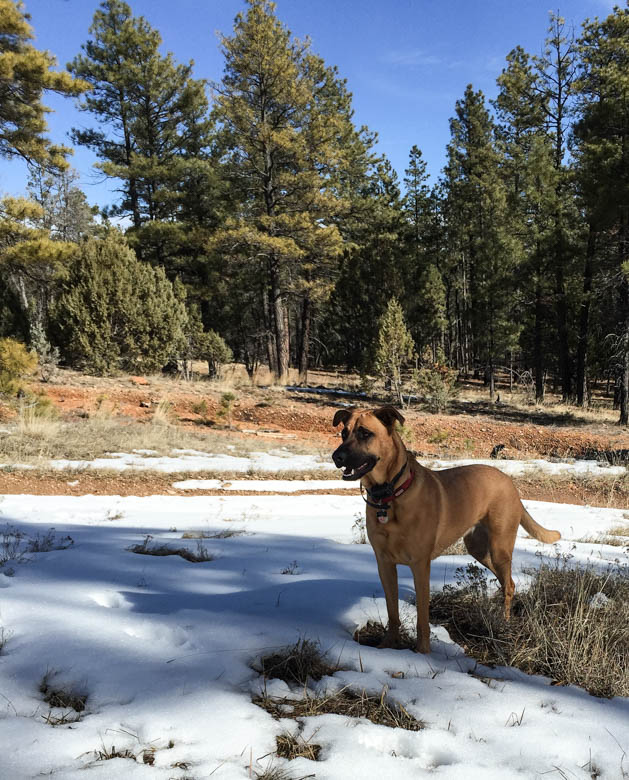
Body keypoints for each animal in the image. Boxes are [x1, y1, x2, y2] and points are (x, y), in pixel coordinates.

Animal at [332, 406, 560, 656]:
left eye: (365, 433)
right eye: (343, 433)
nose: (336, 457)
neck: (390, 495)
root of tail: (509, 482)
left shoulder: (420, 565)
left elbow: (422, 618)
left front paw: (422, 652)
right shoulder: (384, 564)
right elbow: (392, 612)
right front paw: (388, 646)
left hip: (500, 547)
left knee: (509, 584)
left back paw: (505, 623)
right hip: (478, 549)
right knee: (506, 581)